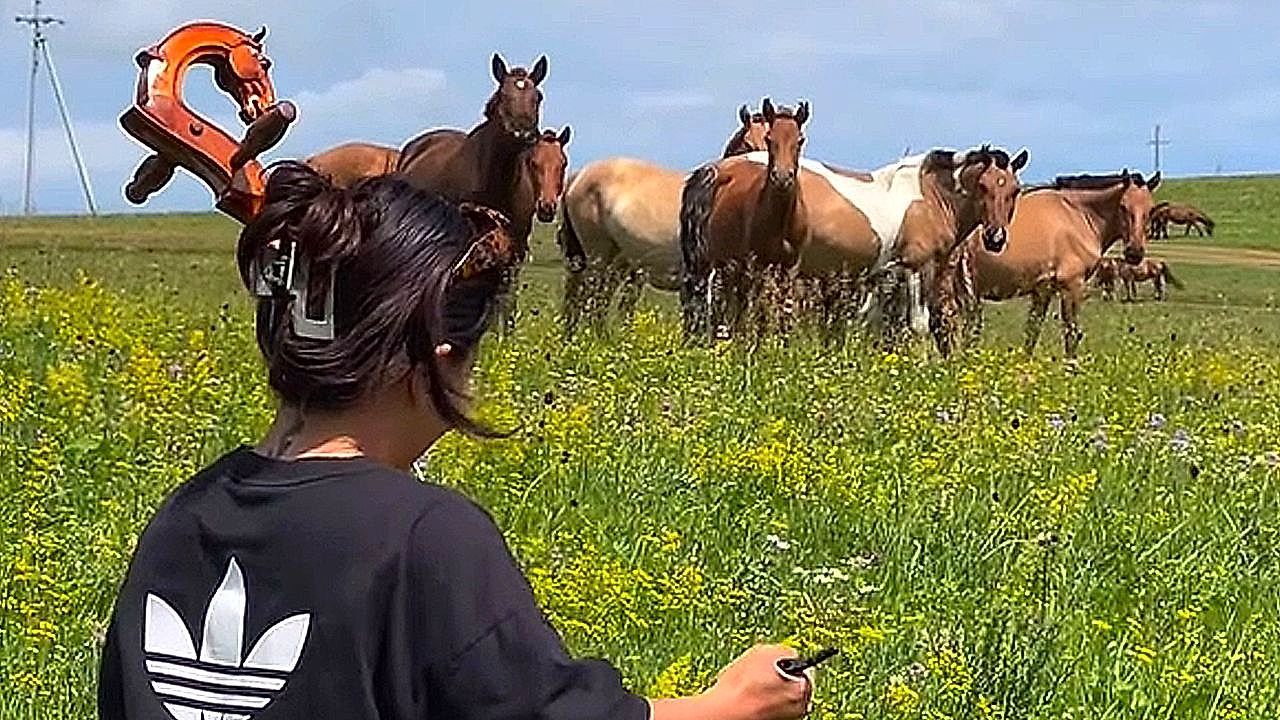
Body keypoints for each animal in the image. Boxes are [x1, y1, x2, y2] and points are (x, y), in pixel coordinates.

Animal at [678, 98, 812, 341]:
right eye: (770, 139)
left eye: (800, 140)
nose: (782, 178)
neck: (780, 220)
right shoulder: (755, 266)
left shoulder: (789, 268)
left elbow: (782, 313)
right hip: (710, 264)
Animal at [681, 141, 1028, 351]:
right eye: (983, 186)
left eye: (1014, 189)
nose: (995, 238)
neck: (928, 195)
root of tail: (720, 170)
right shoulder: (915, 268)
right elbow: (919, 325)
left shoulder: (885, 278)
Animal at [952, 170, 1161, 357]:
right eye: (1123, 207)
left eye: (1151, 209)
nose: (1134, 253)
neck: (1077, 215)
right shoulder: (1071, 287)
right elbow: (1071, 334)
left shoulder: (1042, 290)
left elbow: (1032, 333)